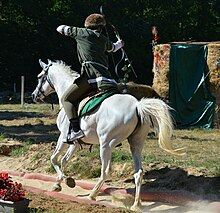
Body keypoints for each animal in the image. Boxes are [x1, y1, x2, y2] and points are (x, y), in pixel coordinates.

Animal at [31, 58, 185, 211]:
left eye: (39, 77)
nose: (34, 95)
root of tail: (137, 105)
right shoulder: (74, 142)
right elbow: (64, 160)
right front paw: (58, 184)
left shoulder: (63, 138)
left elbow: (54, 159)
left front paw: (66, 180)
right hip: (136, 144)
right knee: (138, 172)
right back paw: (136, 204)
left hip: (106, 144)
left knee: (105, 171)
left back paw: (92, 195)